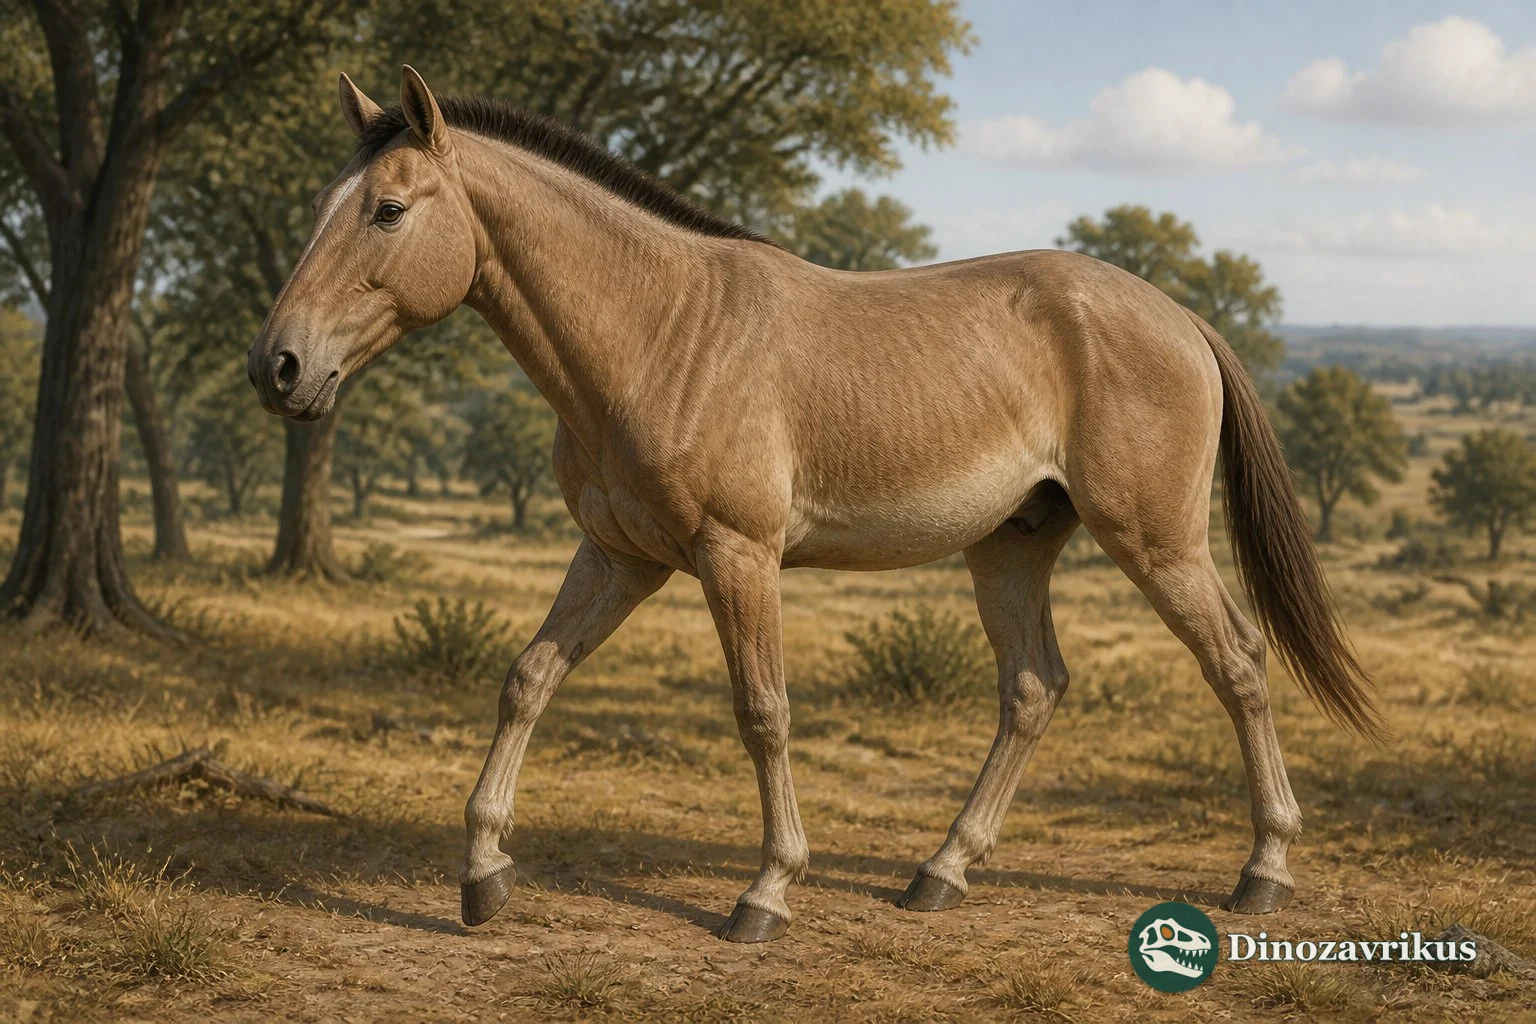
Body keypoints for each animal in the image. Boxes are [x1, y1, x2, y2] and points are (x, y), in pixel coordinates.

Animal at [248, 66, 1382, 943]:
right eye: (318, 209)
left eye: (389, 209)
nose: (279, 366)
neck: (661, 331)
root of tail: (1181, 316)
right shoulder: (618, 556)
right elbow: (526, 680)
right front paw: (483, 874)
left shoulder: (736, 556)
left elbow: (763, 712)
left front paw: (766, 893)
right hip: (1011, 547)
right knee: (1033, 688)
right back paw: (939, 873)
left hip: (1155, 542)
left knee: (1237, 661)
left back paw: (1263, 872)